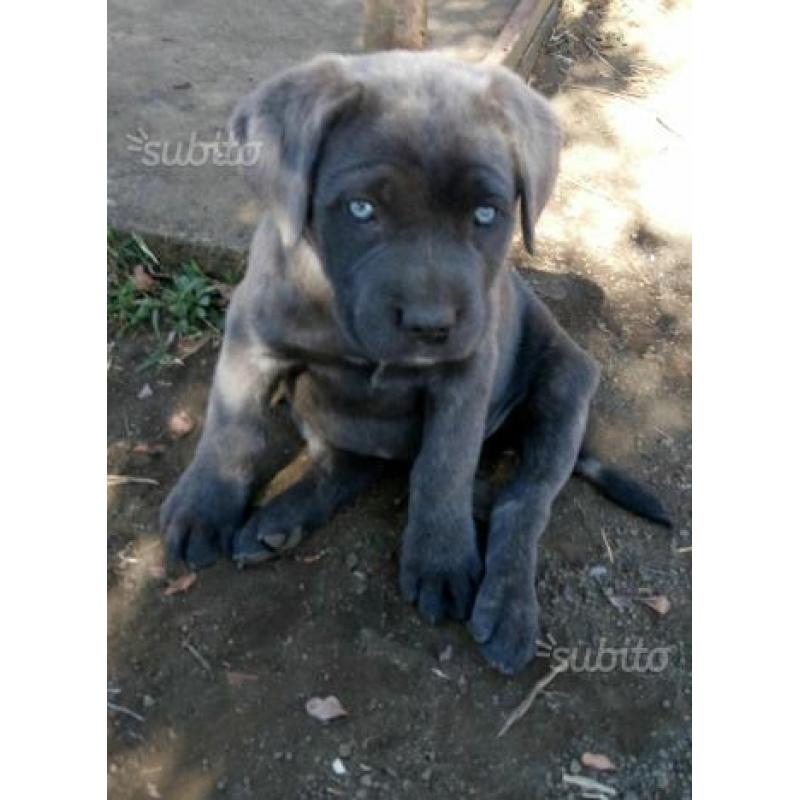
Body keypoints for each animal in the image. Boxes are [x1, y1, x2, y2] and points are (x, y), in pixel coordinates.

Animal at [158, 51, 668, 676]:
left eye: (485, 214)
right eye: (361, 209)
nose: (430, 325)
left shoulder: (466, 376)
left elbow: (443, 467)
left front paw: (441, 558)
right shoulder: (251, 340)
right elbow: (230, 429)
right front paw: (202, 508)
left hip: (566, 384)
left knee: (523, 503)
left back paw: (507, 603)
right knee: (347, 463)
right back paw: (281, 522)